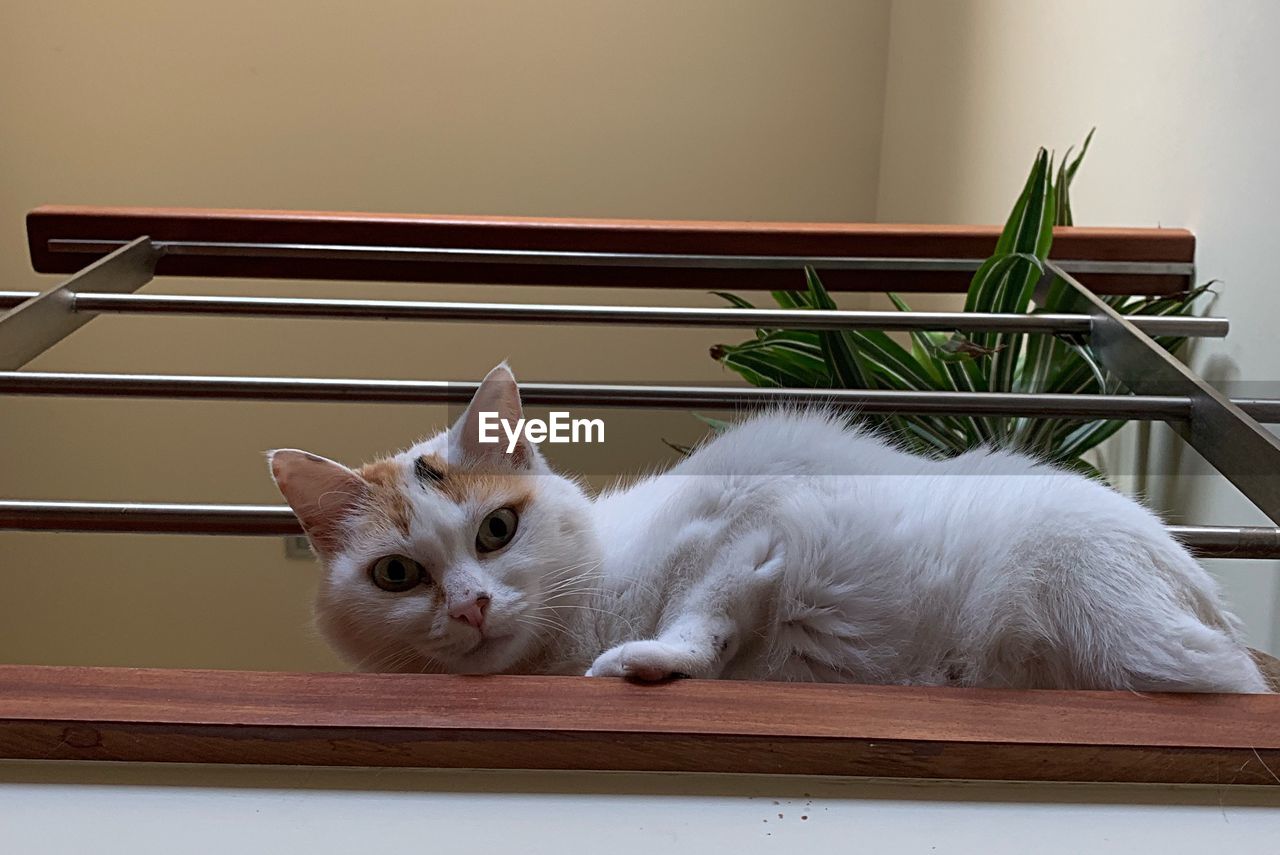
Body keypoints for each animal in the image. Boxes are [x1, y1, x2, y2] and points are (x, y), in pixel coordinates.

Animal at [270, 363, 1269, 691]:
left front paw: (654, 659)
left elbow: (703, 609)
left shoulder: (762, 502)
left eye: (496, 530)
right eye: (397, 575)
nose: (471, 606)